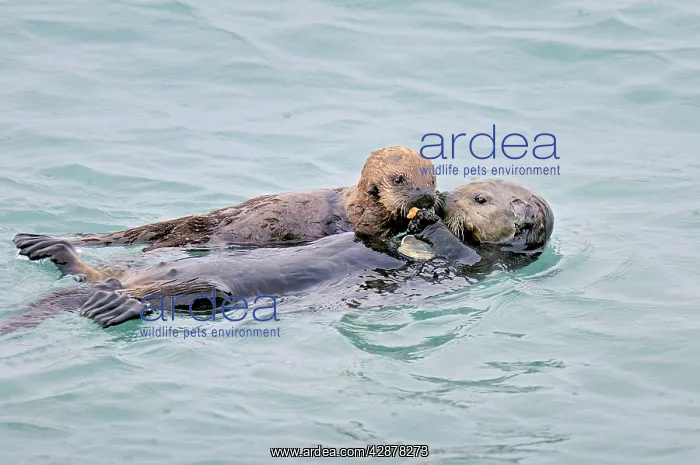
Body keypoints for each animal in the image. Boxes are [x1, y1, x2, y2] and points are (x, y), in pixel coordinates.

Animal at [41, 146, 437, 252]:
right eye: (399, 179)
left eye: (432, 176)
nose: (425, 197)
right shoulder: (359, 220)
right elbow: (373, 231)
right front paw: (418, 218)